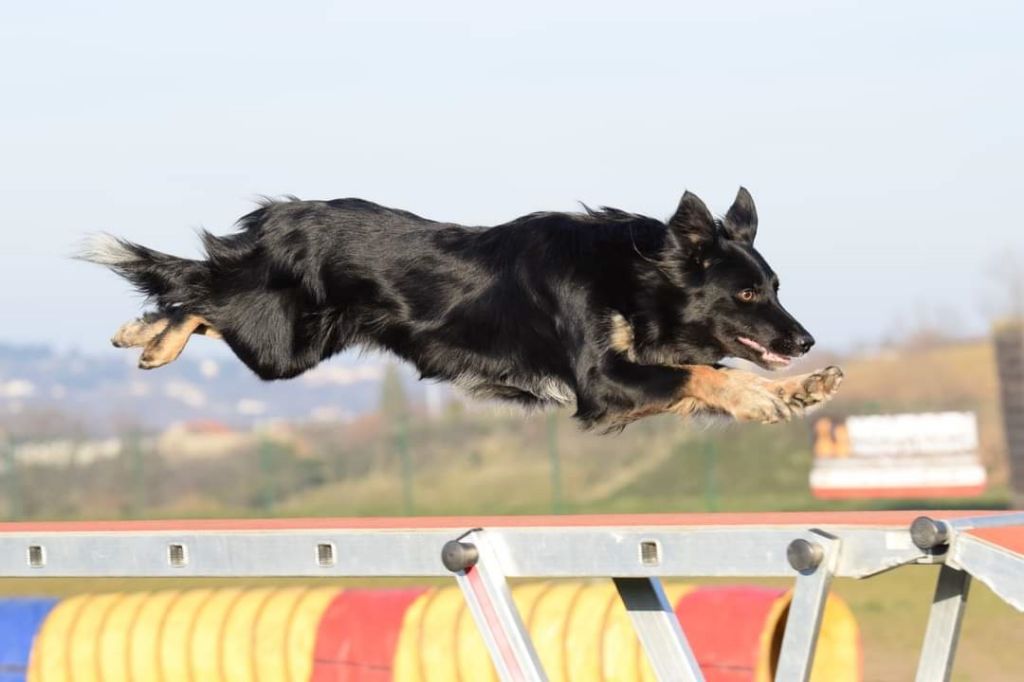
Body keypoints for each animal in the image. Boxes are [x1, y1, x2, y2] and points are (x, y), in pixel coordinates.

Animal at [83, 186, 843, 428]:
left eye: (776, 285)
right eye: (747, 292)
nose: (806, 342)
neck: (631, 275)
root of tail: (277, 219)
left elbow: (708, 373)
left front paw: (803, 388)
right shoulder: (601, 384)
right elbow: (707, 372)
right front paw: (762, 398)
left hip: (299, 342)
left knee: (202, 290)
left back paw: (140, 332)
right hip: (279, 346)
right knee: (199, 288)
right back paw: (149, 336)